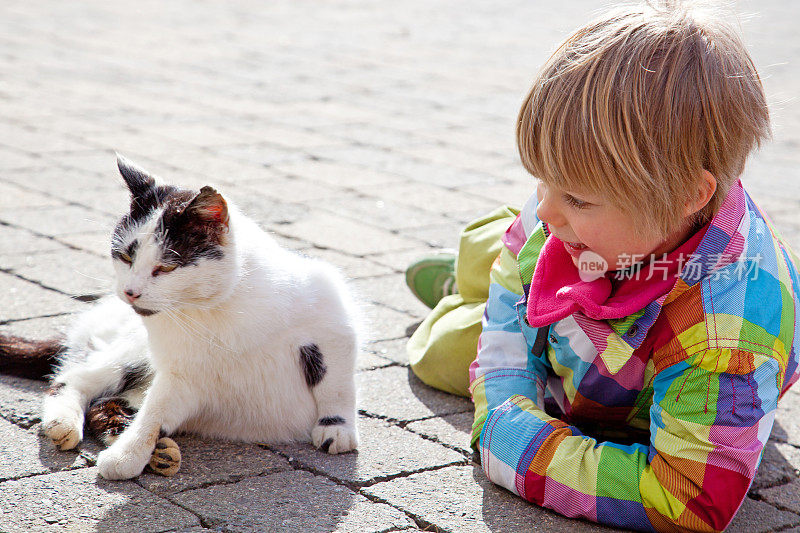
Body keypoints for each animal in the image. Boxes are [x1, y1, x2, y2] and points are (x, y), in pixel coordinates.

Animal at [0, 156, 360, 480]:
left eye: (166, 267)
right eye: (126, 256)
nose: (130, 291)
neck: (214, 309)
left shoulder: (333, 317)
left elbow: (336, 382)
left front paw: (337, 428)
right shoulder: (179, 373)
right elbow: (155, 410)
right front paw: (128, 456)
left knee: (108, 399)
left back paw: (156, 450)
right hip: (130, 351)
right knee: (73, 380)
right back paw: (69, 425)